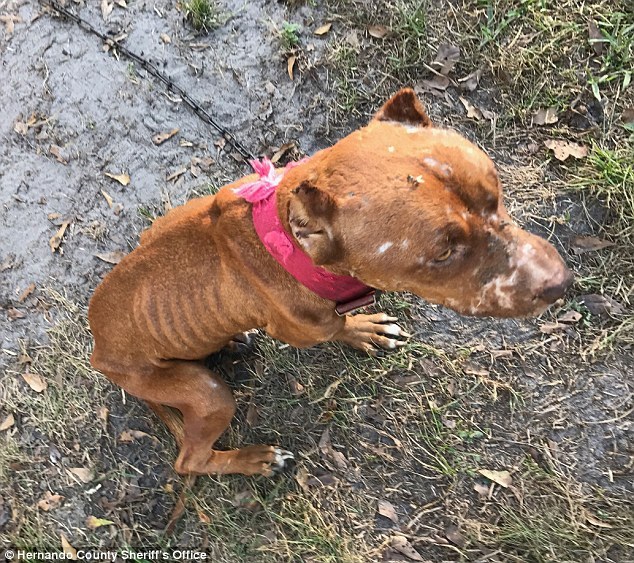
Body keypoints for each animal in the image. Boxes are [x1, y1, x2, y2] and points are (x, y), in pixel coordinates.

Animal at [87, 88, 568, 476]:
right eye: (443, 253)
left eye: (496, 193)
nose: (559, 282)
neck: (287, 245)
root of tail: (98, 350)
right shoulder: (305, 329)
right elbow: (338, 326)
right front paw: (362, 329)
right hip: (208, 395)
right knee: (190, 461)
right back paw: (254, 460)